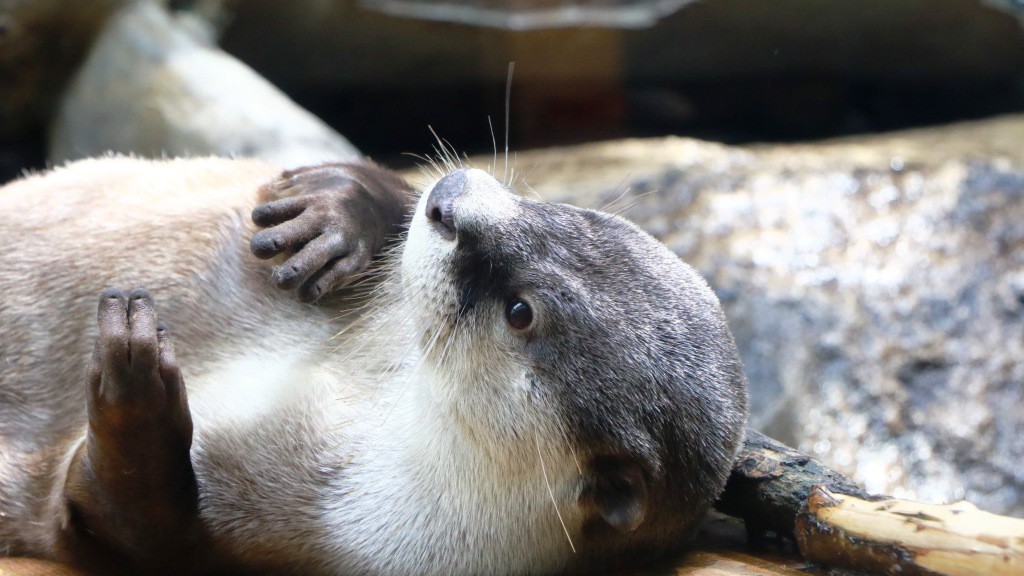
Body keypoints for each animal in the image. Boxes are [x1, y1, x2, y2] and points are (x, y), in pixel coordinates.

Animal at [2, 154, 753, 569]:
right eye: (568, 215)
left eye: (521, 311)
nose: (450, 200)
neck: (358, 416)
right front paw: (342, 210)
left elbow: (125, 525)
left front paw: (135, 384)